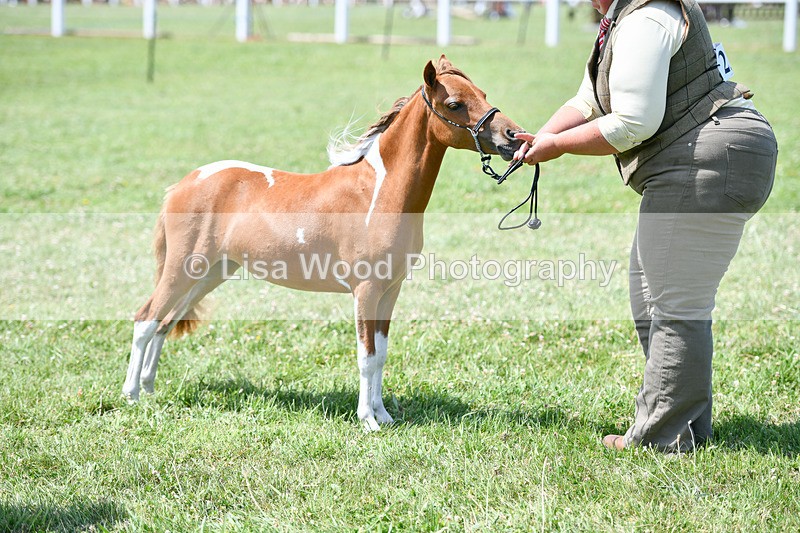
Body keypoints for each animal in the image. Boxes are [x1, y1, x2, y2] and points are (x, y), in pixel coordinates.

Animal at [122, 55, 525, 431]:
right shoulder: (365, 290)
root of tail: (184, 183)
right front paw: (368, 420)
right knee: (145, 319)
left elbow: (381, 354)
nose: (514, 136)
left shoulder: (389, 291)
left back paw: (150, 387)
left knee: (165, 322)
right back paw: (131, 395)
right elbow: (365, 356)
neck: (377, 193)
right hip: (183, 269)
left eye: (483, 94)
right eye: (455, 103)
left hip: (209, 274)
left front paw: (384, 415)